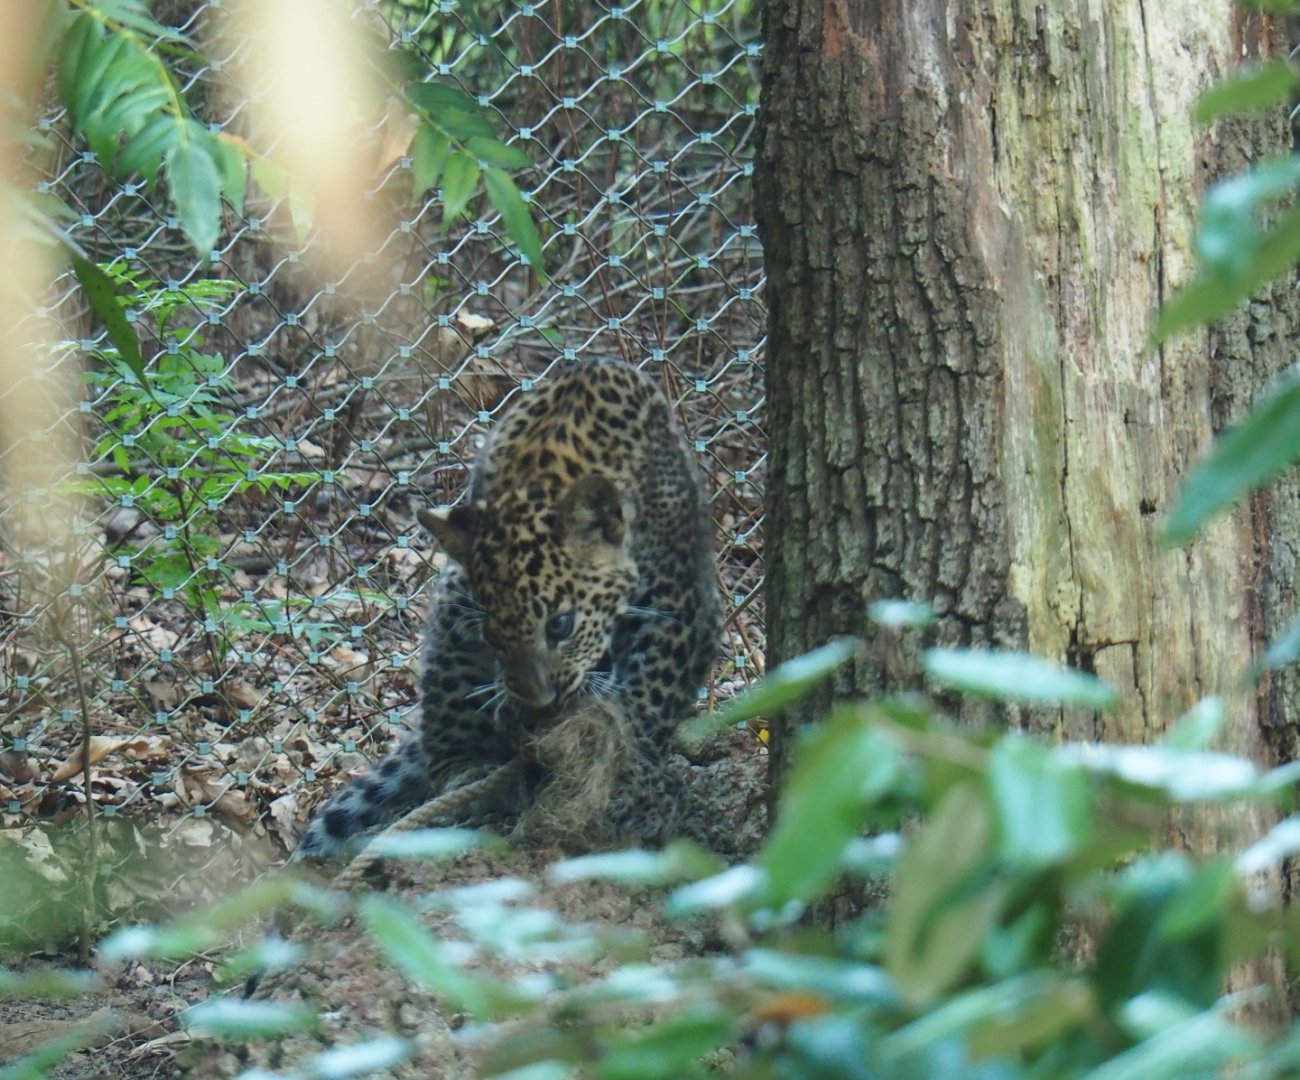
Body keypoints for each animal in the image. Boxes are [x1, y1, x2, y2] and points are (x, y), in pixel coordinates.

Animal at [295, 359, 721, 859]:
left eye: (561, 625)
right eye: (493, 637)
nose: (540, 705)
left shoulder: (679, 601)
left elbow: (649, 697)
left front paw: (629, 784)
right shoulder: (460, 594)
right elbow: (452, 686)